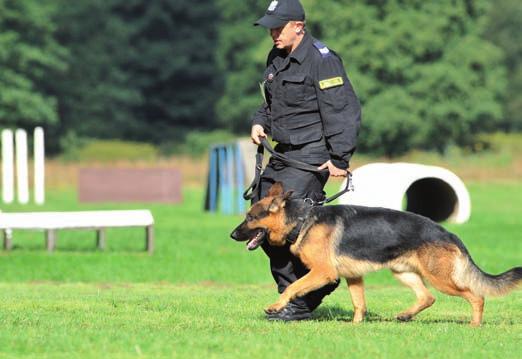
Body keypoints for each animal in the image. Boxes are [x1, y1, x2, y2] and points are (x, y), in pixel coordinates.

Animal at [230, 183, 516, 326]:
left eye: (250, 218)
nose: (232, 235)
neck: (302, 221)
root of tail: (449, 233)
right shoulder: (353, 276)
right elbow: (360, 304)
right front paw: (356, 327)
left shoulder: (324, 273)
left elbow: (292, 287)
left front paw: (276, 307)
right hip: (403, 273)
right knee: (428, 297)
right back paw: (405, 316)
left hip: (440, 278)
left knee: (476, 296)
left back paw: (475, 325)